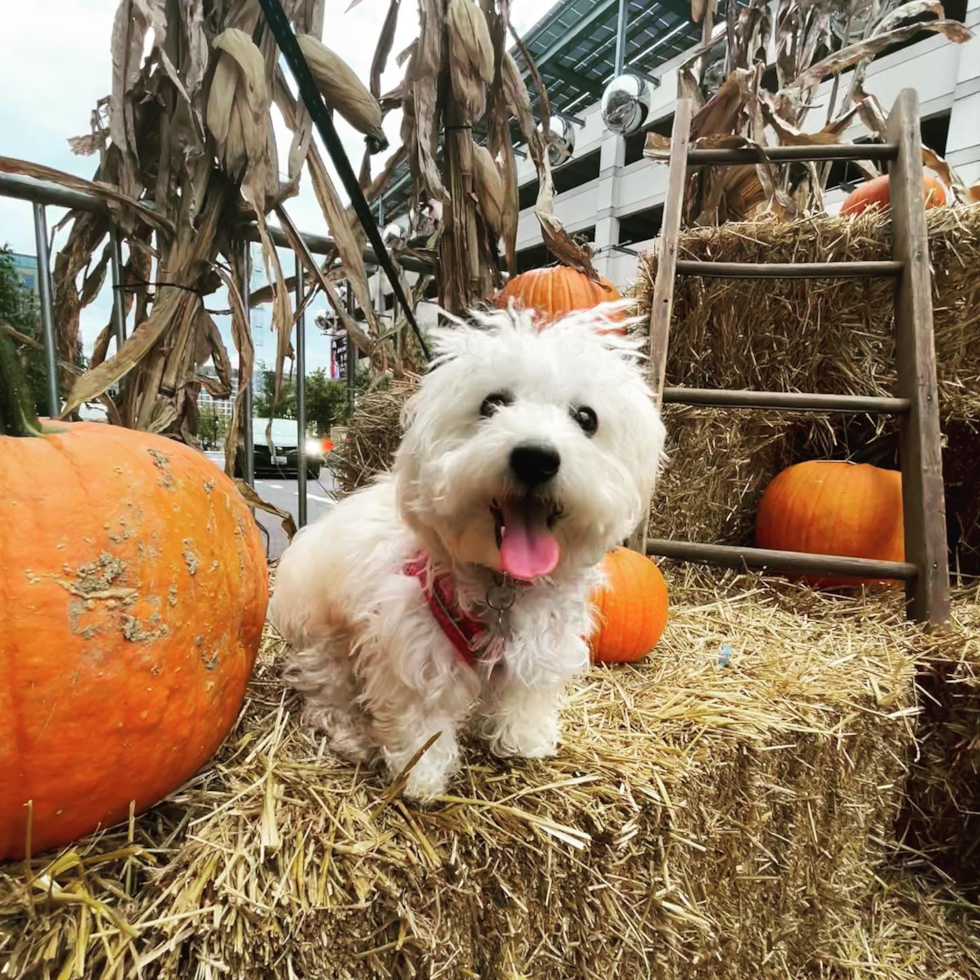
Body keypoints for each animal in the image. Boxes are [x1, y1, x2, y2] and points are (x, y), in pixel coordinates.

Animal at [270, 304, 668, 796]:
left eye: (586, 417)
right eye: (491, 404)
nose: (536, 458)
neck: (502, 583)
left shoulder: (539, 647)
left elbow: (524, 697)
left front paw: (523, 741)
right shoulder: (414, 652)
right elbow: (421, 720)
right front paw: (421, 776)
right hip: (324, 635)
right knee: (328, 689)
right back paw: (351, 735)